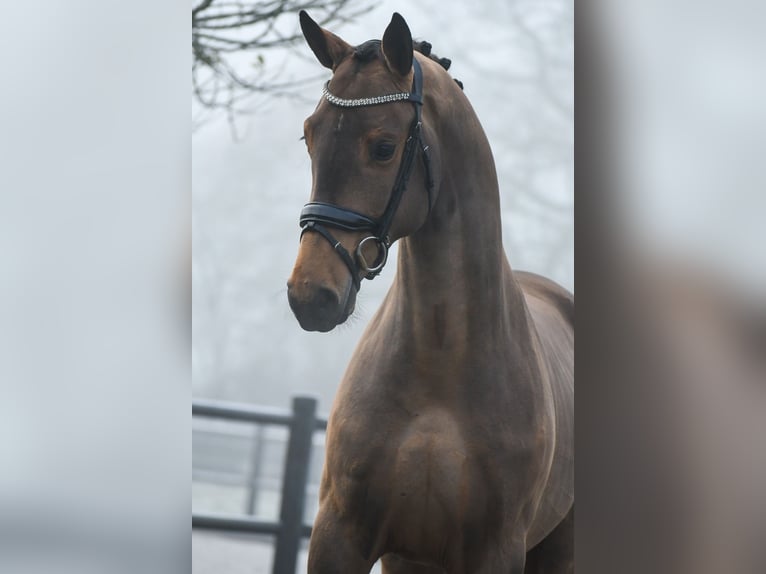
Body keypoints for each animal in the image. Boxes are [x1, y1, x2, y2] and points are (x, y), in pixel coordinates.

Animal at [288, 11, 576, 572]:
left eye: (382, 147)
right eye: (309, 136)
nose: (309, 294)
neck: (439, 365)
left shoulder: (496, 551)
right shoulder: (341, 535)